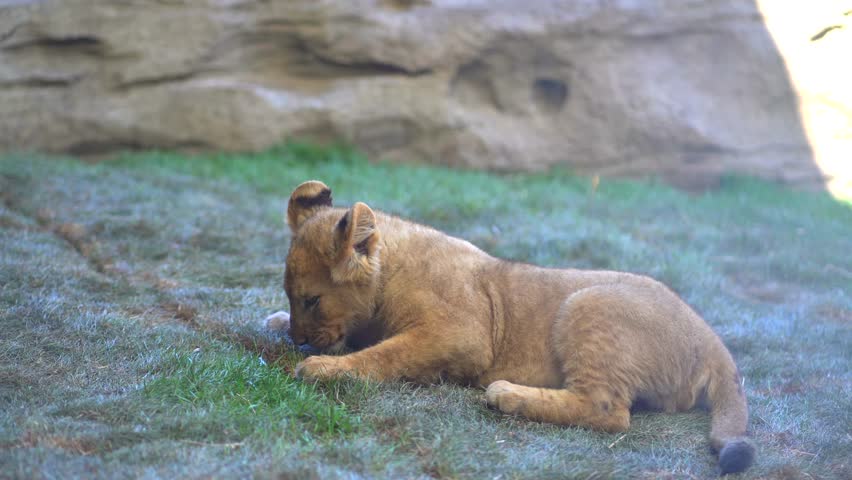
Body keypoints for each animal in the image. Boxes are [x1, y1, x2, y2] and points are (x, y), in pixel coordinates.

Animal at [276, 180, 755, 474]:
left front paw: (322, 367)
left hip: (588, 302)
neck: (391, 269)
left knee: (608, 411)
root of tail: (713, 340)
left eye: (312, 300)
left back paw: (507, 395)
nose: (298, 340)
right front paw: (277, 321)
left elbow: (387, 354)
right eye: (290, 296)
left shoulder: (463, 336)